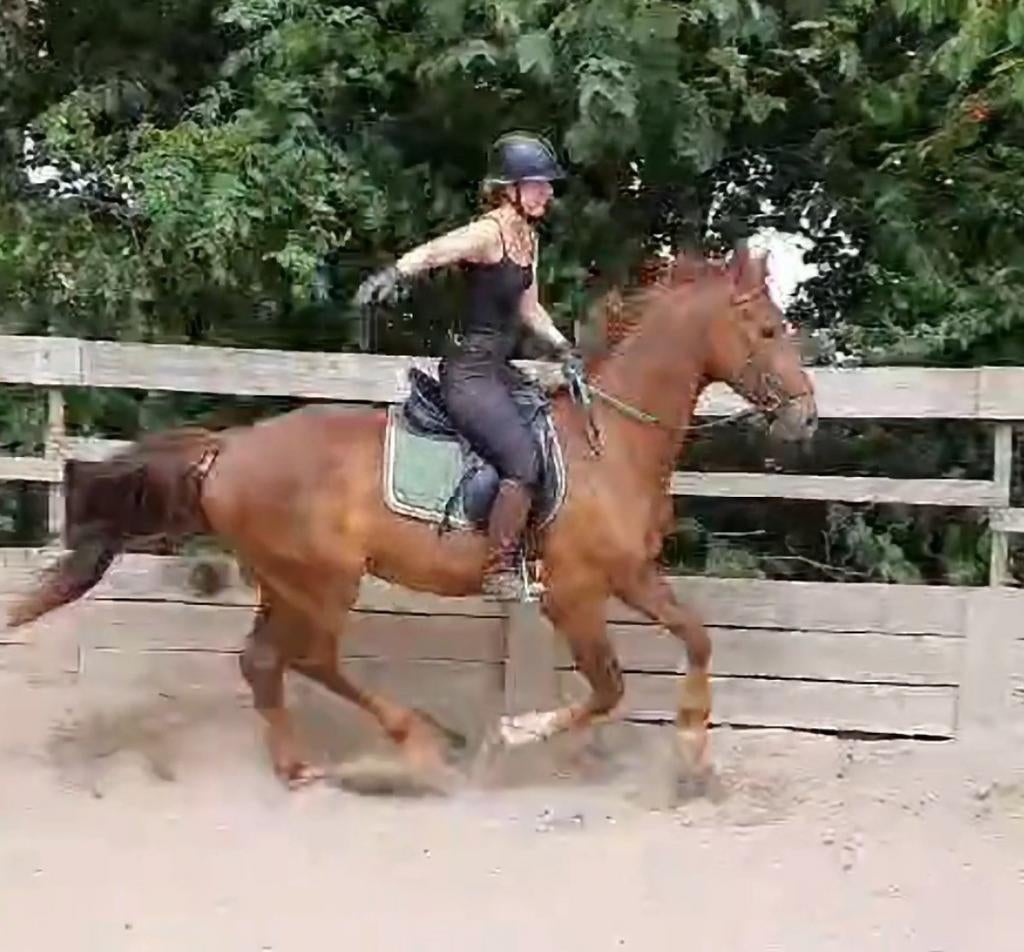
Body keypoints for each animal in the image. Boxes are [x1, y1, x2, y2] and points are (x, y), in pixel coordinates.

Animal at [7, 246, 818, 788]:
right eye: (768, 331)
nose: (806, 418)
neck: (609, 440)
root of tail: (228, 447)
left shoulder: (633, 575)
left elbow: (699, 638)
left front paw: (690, 747)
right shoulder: (576, 594)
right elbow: (608, 688)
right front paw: (513, 734)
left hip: (286, 580)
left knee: (265, 662)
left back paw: (300, 766)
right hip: (324, 581)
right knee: (311, 660)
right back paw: (421, 743)